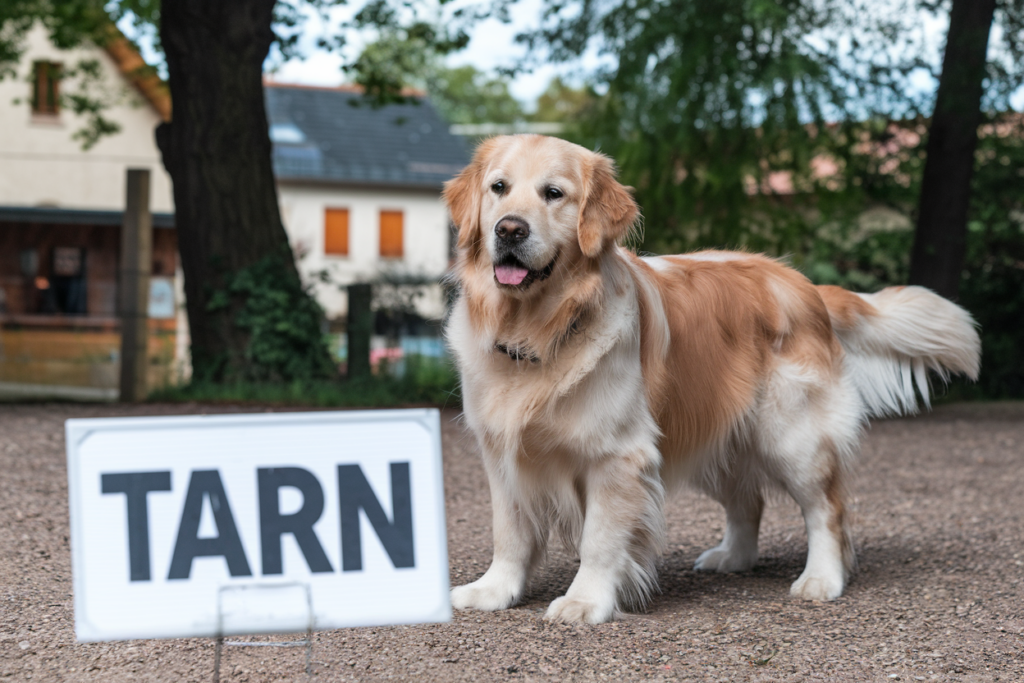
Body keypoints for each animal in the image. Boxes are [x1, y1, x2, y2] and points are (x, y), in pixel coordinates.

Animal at [442, 135, 983, 626]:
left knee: (827, 511)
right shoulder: (503, 454)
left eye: (553, 193)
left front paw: (585, 601)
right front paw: (494, 590)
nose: (509, 229)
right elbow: (509, 533)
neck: (538, 331)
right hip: (712, 432)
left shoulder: (618, 456)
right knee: (749, 500)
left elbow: (599, 538)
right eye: (498, 188)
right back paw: (733, 558)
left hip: (794, 437)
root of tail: (803, 285)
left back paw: (822, 579)